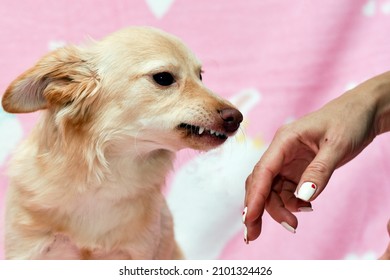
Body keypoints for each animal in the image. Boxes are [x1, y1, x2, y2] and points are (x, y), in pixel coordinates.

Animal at [1, 26, 242, 260]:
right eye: (163, 78)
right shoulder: (25, 251)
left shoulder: (139, 252)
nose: (237, 117)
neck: (106, 178)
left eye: (200, 76)